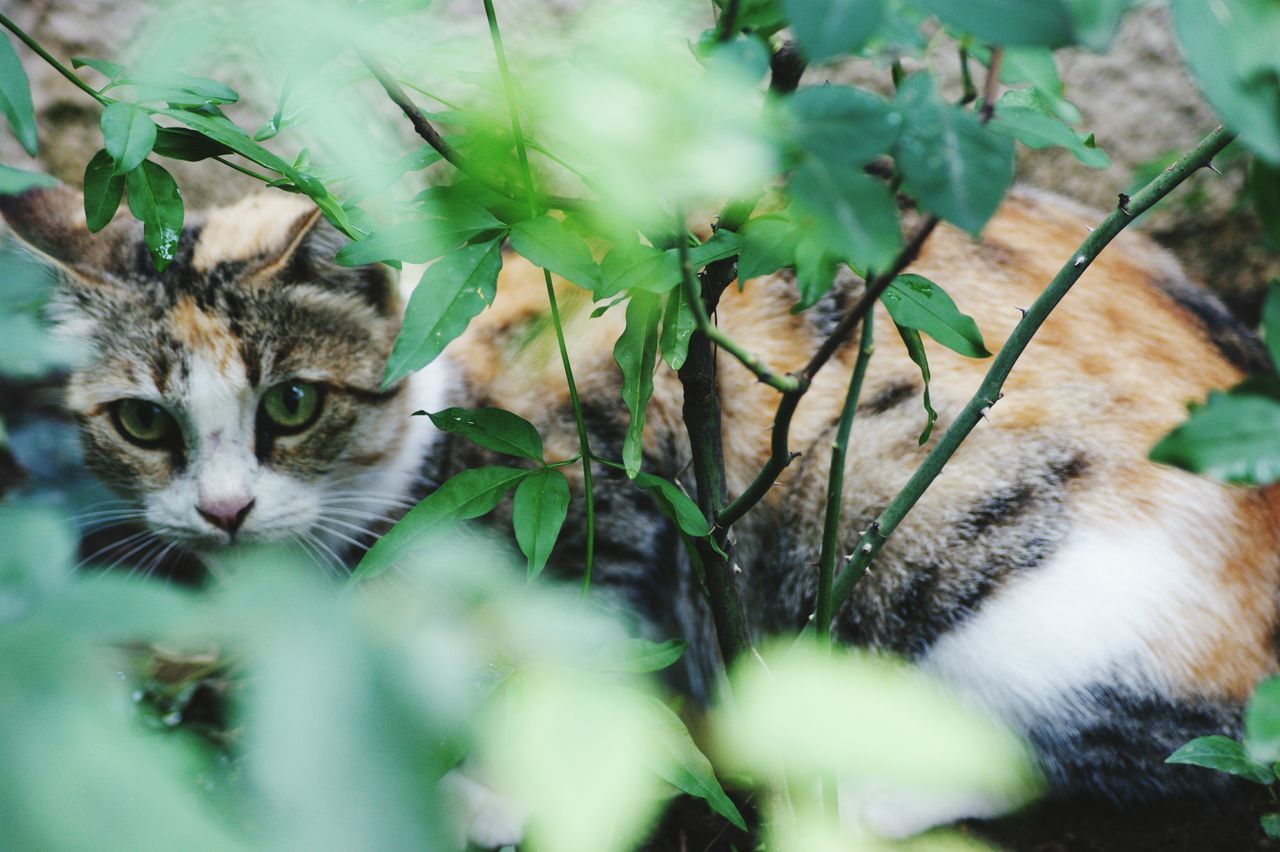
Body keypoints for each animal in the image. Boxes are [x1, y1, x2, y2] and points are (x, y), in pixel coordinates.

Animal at [2, 179, 1280, 834]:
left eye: (292, 404)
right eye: (143, 424)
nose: (220, 511)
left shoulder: (621, 501)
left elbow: (585, 664)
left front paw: (488, 793)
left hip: (965, 560)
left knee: (1119, 749)